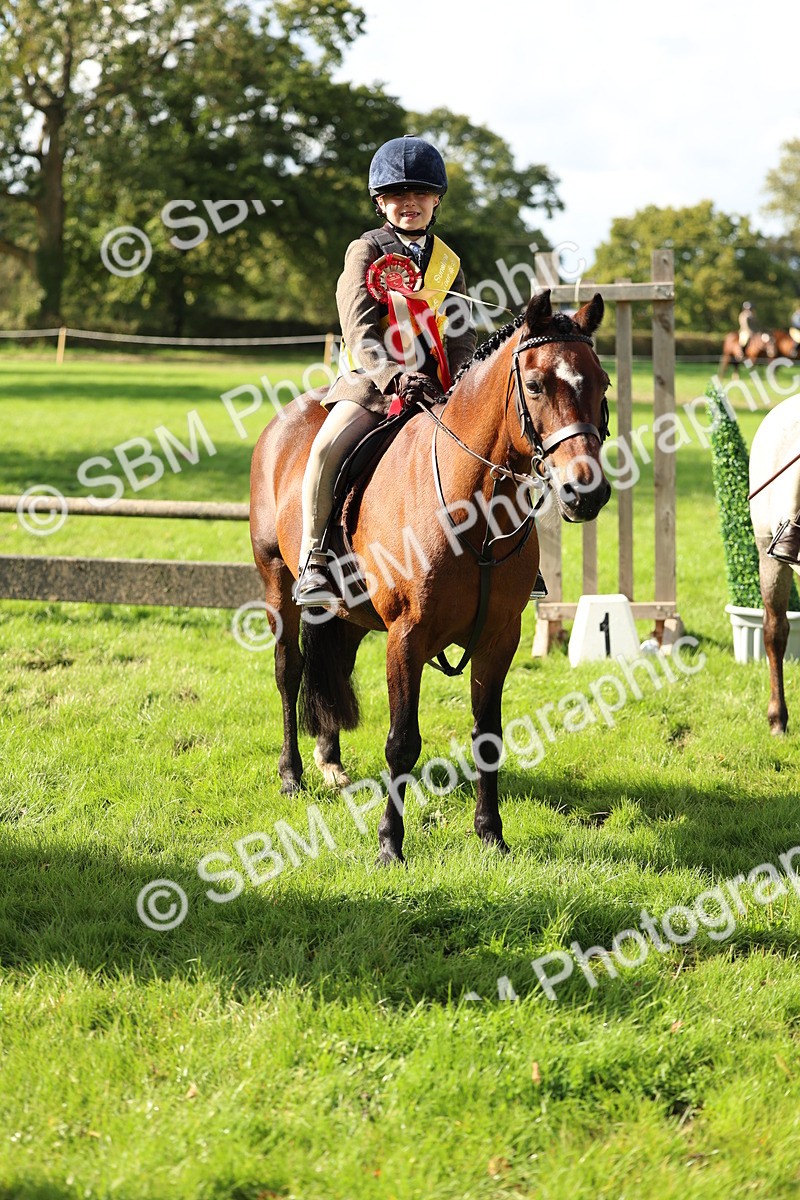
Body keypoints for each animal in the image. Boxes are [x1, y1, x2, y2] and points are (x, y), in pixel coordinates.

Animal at [250, 289, 612, 864]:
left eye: (602, 384)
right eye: (535, 384)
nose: (587, 492)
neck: (475, 505)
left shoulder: (499, 637)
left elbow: (488, 735)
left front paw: (491, 834)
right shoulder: (407, 635)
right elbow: (402, 742)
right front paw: (389, 844)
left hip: (349, 612)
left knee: (336, 665)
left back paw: (331, 760)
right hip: (276, 582)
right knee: (290, 671)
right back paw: (292, 774)